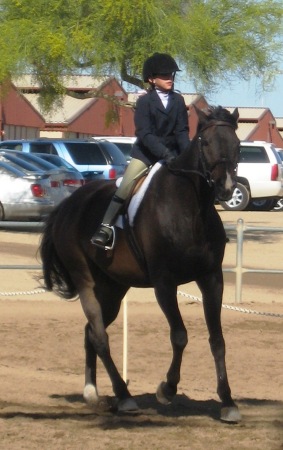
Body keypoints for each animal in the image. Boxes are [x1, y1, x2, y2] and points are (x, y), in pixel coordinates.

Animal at [39, 104, 242, 422]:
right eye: (207, 143)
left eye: (238, 145)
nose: (226, 188)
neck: (191, 209)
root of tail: (67, 205)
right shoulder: (164, 283)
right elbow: (180, 336)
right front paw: (167, 389)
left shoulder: (211, 279)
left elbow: (217, 339)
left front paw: (228, 402)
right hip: (85, 280)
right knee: (99, 336)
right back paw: (123, 396)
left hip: (112, 287)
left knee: (90, 332)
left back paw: (92, 392)